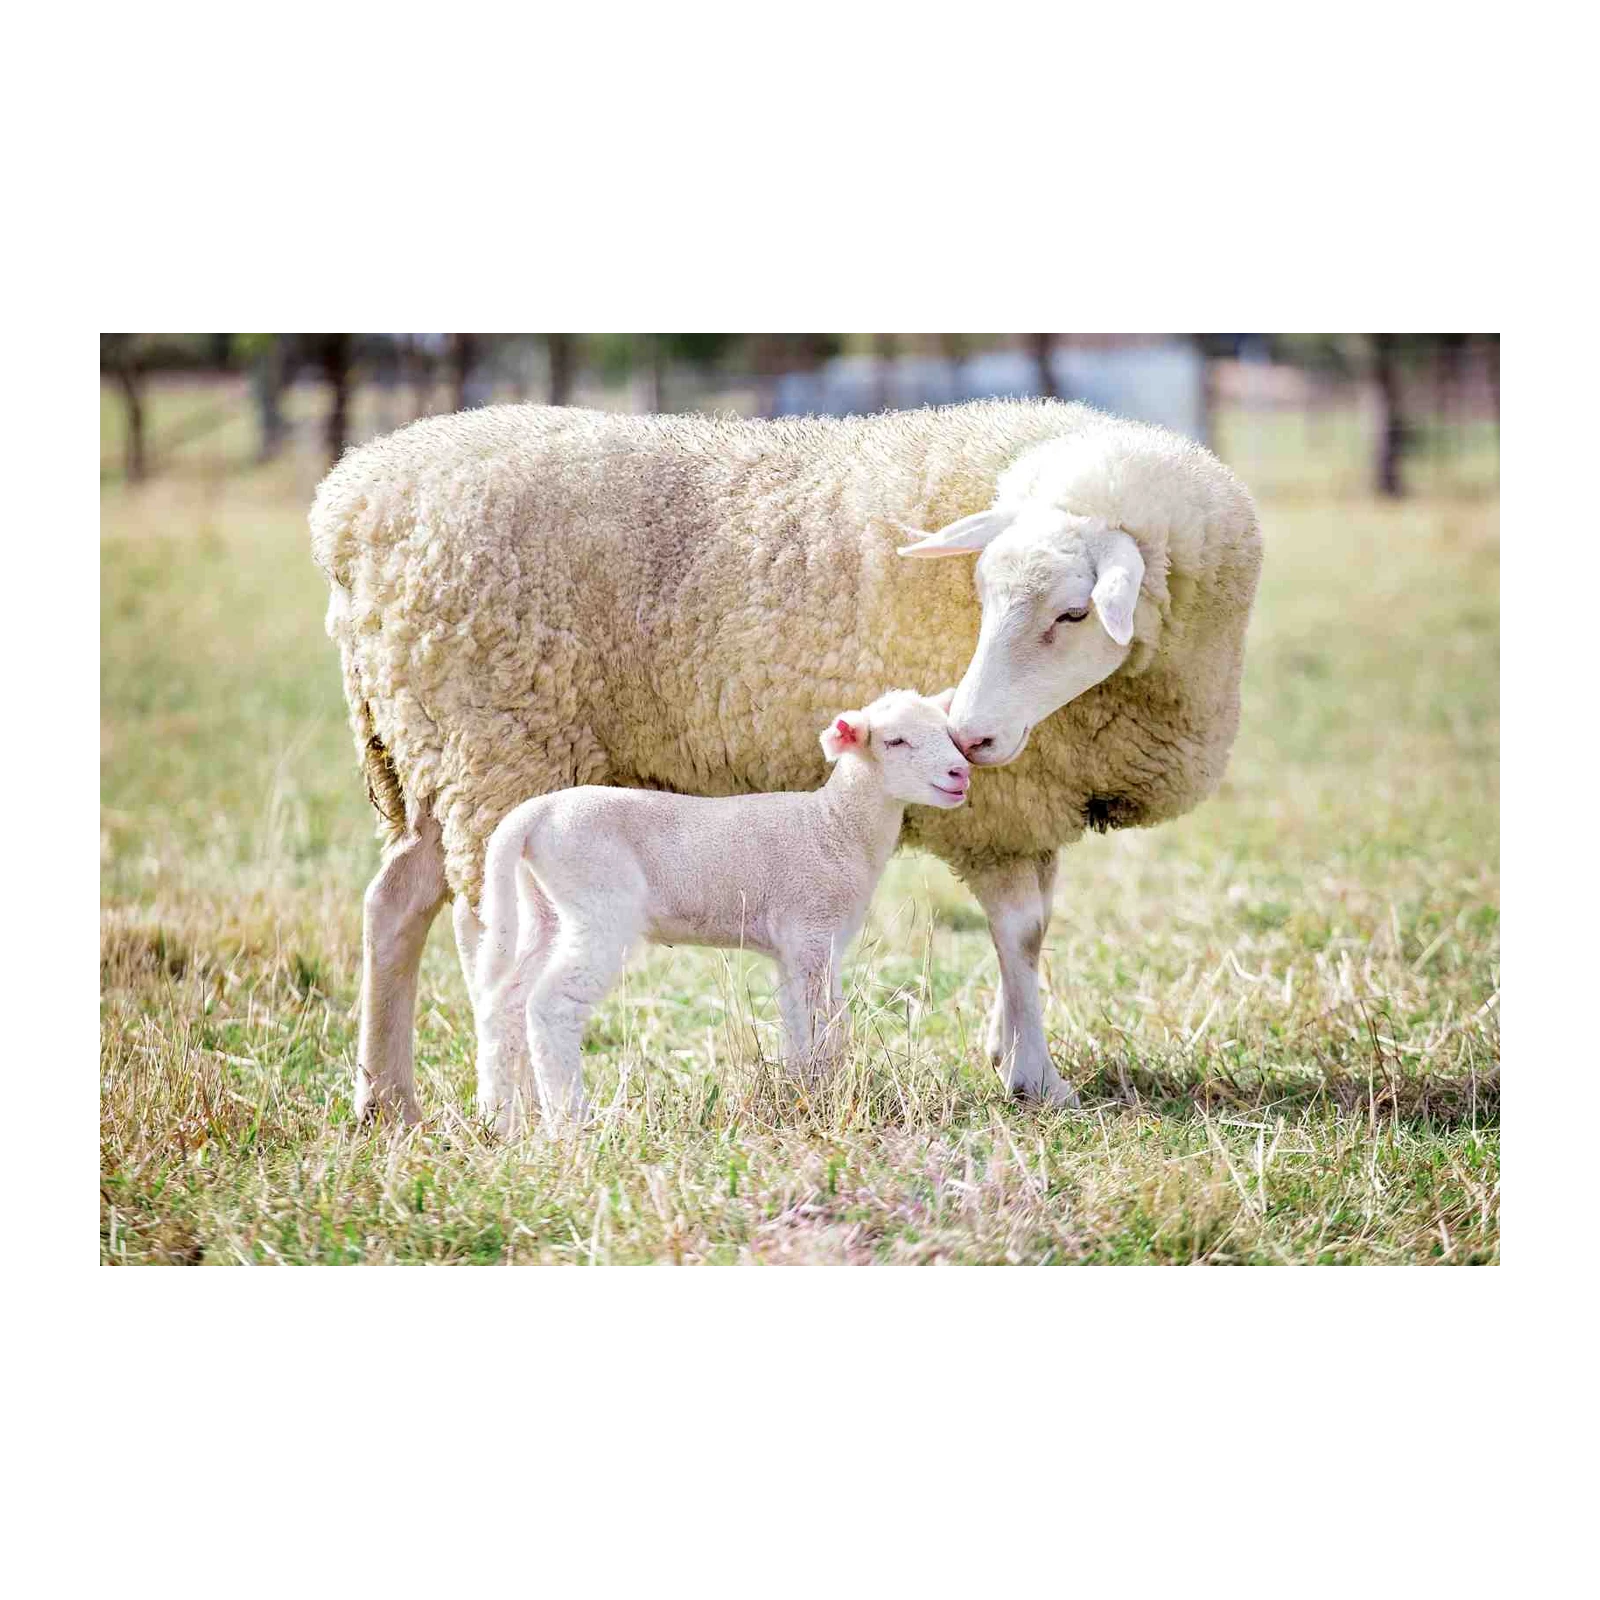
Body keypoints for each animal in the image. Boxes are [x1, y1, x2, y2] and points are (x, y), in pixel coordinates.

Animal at [471, 689, 970, 1134]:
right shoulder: (813, 930)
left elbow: (796, 1022)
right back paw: (570, 1122)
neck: (835, 825)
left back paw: (499, 1121)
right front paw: (828, 1096)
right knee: (551, 1004)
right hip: (597, 900)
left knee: (505, 1004)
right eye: (895, 741)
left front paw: (799, 1093)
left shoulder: (793, 948)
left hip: (545, 910)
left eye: (948, 733)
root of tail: (538, 812)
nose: (960, 772)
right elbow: (827, 1022)